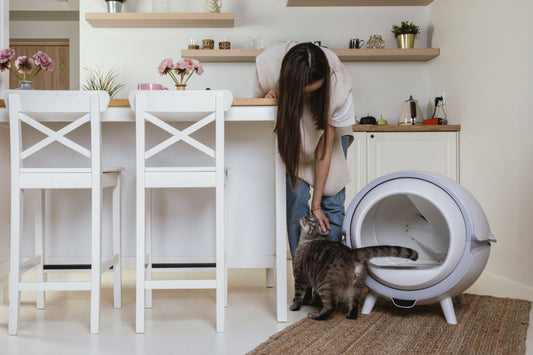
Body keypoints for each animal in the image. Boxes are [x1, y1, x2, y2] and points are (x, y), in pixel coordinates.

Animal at [288, 216, 418, 322]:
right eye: (310, 217)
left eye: (313, 220)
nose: (305, 216)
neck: (306, 241)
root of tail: (352, 252)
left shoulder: (299, 277)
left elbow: (299, 295)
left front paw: (295, 307)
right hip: (356, 288)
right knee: (354, 306)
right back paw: (350, 316)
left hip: (324, 285)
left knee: (331, 305)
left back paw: (318, 317)